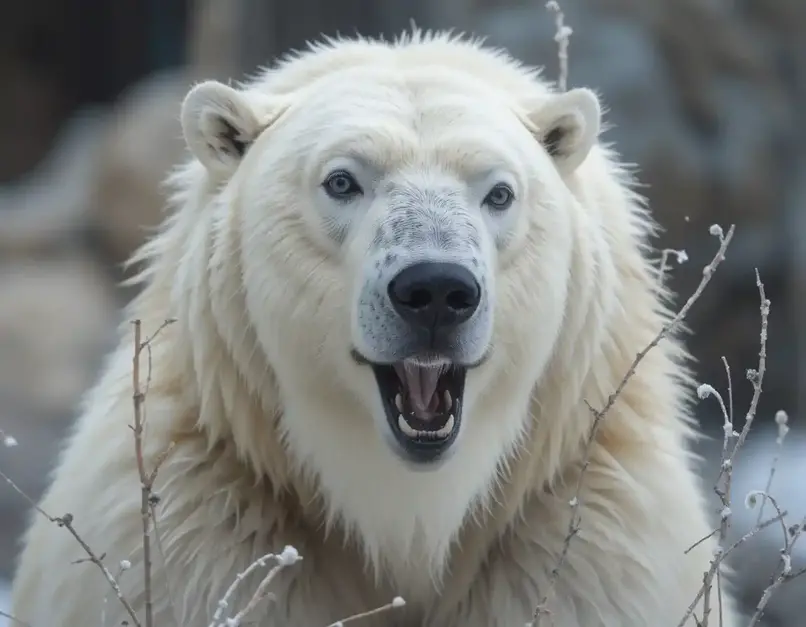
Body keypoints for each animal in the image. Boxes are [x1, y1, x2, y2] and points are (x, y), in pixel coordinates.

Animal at [7, 31, 740, 627]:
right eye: (341, 181)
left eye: (500, 192)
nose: (436, 291)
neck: (407, 513)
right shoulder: (205, 532)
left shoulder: (582, 538)